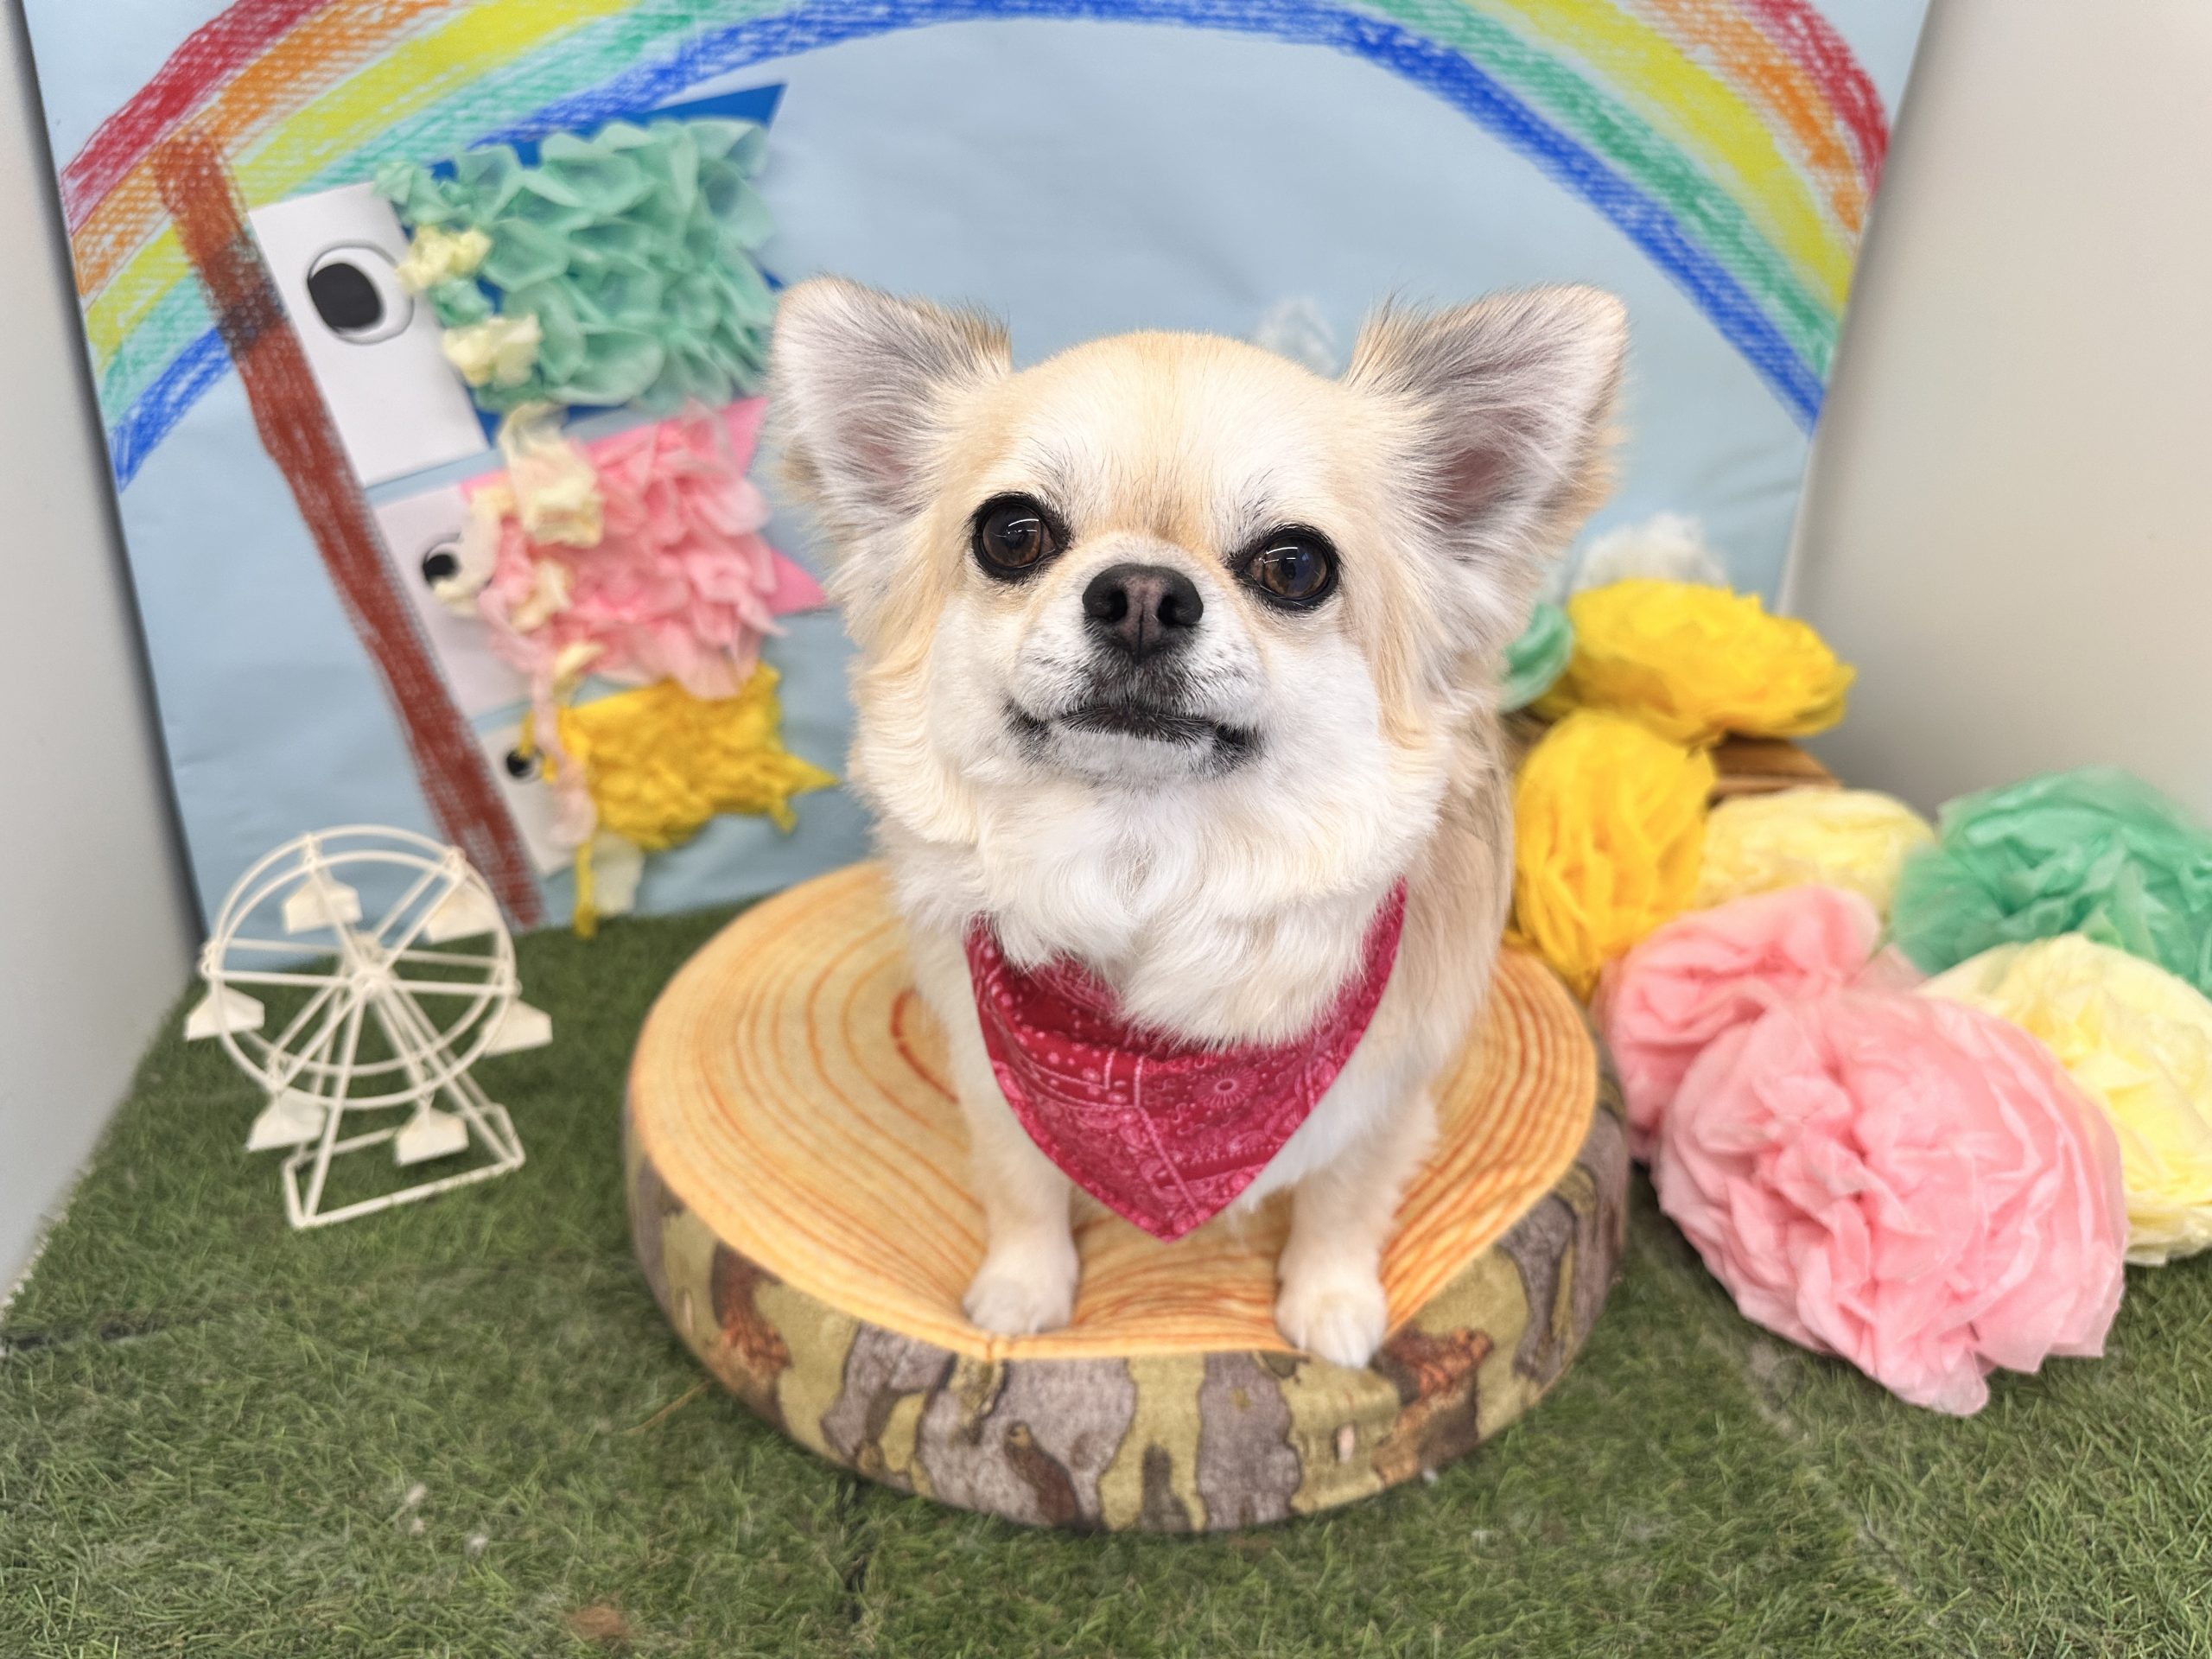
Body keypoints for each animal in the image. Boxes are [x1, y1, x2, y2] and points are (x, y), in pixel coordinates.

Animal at [768, 279, 1624, 1366]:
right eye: (1012, 535)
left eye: (1295, 567)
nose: (1140, 592)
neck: (1145, 860)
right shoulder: (990, 1075)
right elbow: (1020, 1185)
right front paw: (1023, 1290)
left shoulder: (1386, 1092)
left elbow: (1344, 1200)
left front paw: (1329, 1305)